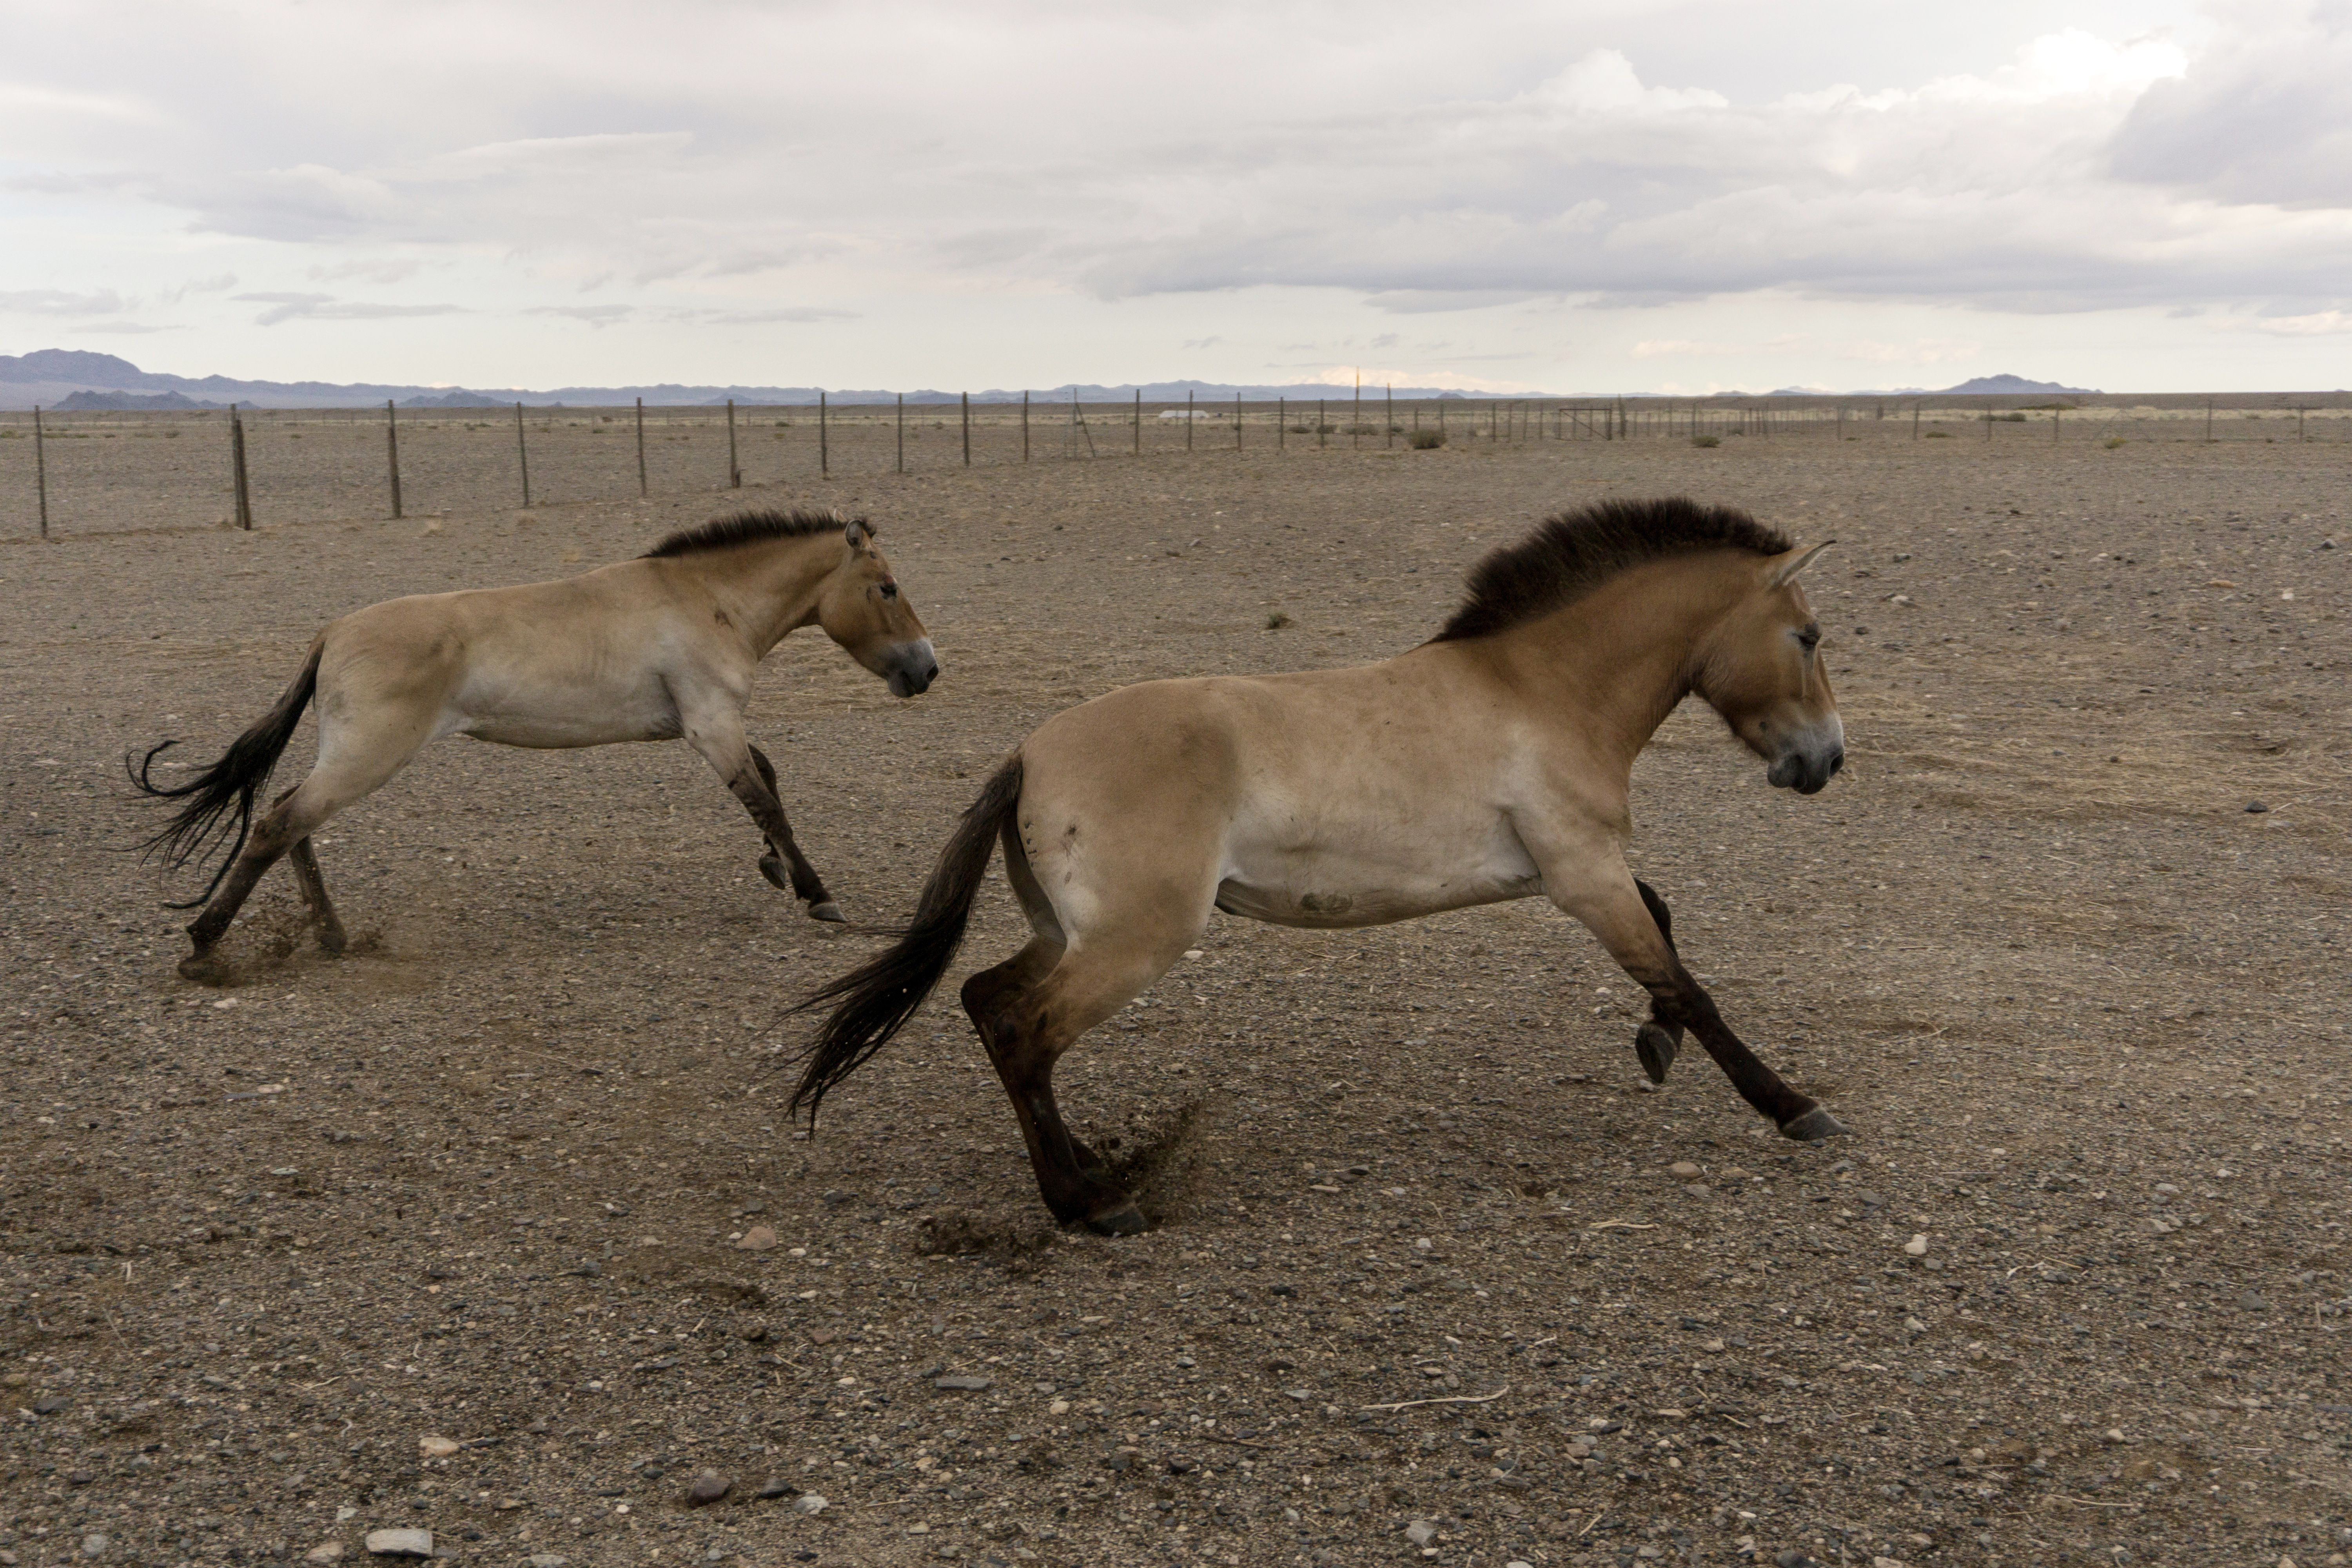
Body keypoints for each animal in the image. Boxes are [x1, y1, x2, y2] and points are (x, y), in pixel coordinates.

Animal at [133, 510, 931, 987]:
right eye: (888, 588)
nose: (927, 669)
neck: (707, 600)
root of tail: (333, 632)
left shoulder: (713, 725)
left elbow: (768, 784)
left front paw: (778, 872)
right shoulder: (712, 725)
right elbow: (767, 801)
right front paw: (819, 895)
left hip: (351, 758)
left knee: (292, 818)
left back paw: (331, 936)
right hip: (368, 756)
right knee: (280, 823)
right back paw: (205, 945)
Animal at [800, 503, 1844, 1241]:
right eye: (1808, 637)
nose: (1826, 760)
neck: (1542, 689)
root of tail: (1029, 752)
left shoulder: (1566, 872)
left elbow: (1664, 930)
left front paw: (1657, 1044)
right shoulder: (1583, 871)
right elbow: (1687, 978)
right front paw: (1793, 1108)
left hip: (1066, 932)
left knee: (986, 1001)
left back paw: (1088, 1169)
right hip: (1136, 940)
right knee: (1027, 1031)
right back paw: (1090, 1203)